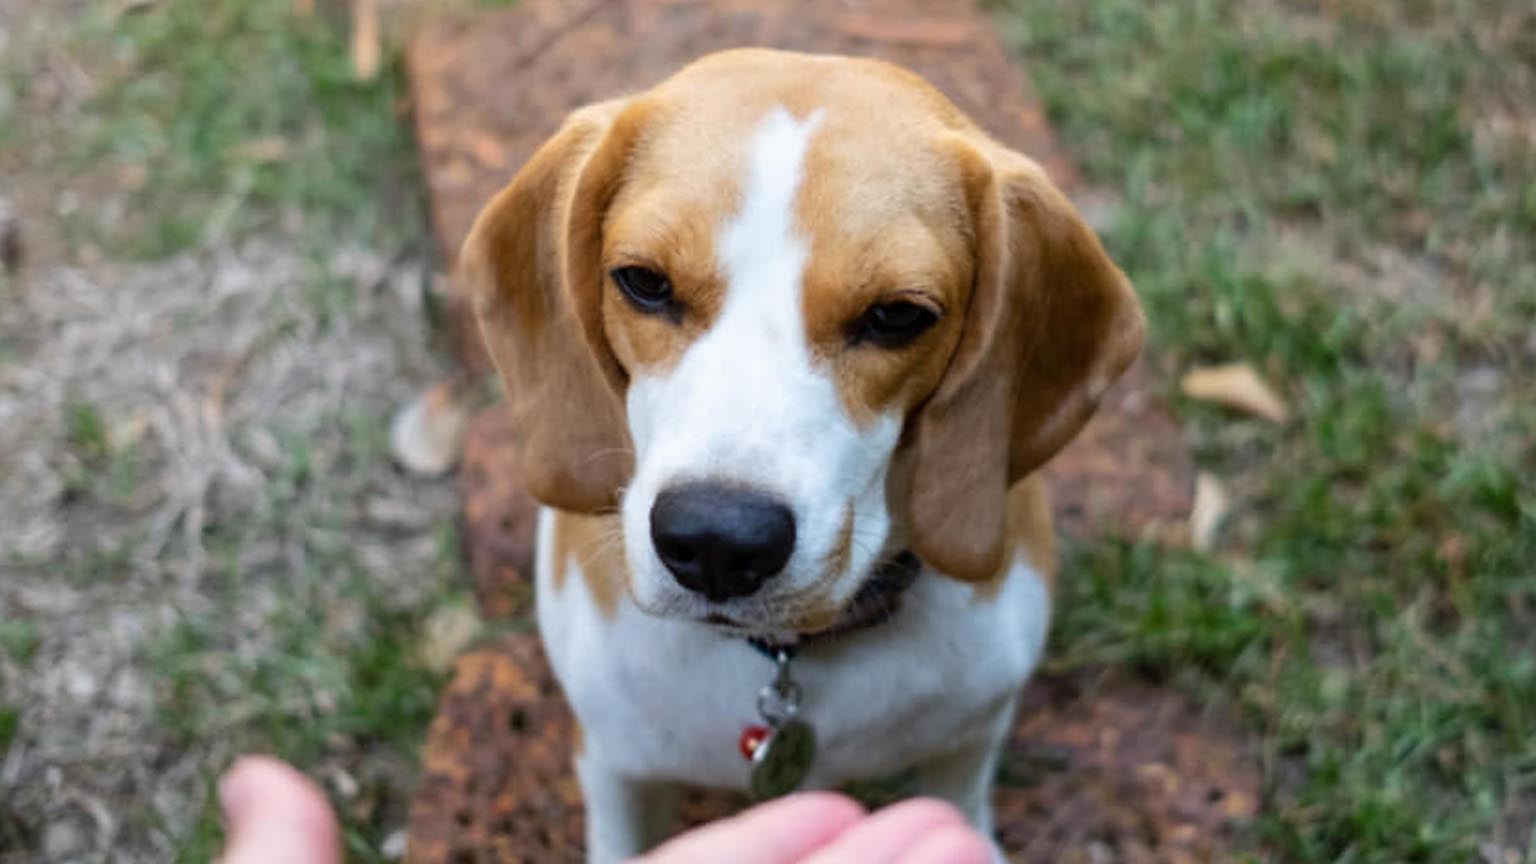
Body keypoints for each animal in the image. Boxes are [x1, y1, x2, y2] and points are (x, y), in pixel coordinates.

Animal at [460, 50, 1148, 854]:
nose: (718, 541)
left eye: (897, 316)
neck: (789, 658)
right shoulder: (616, 766)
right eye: (644, 282)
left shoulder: (968, 741)